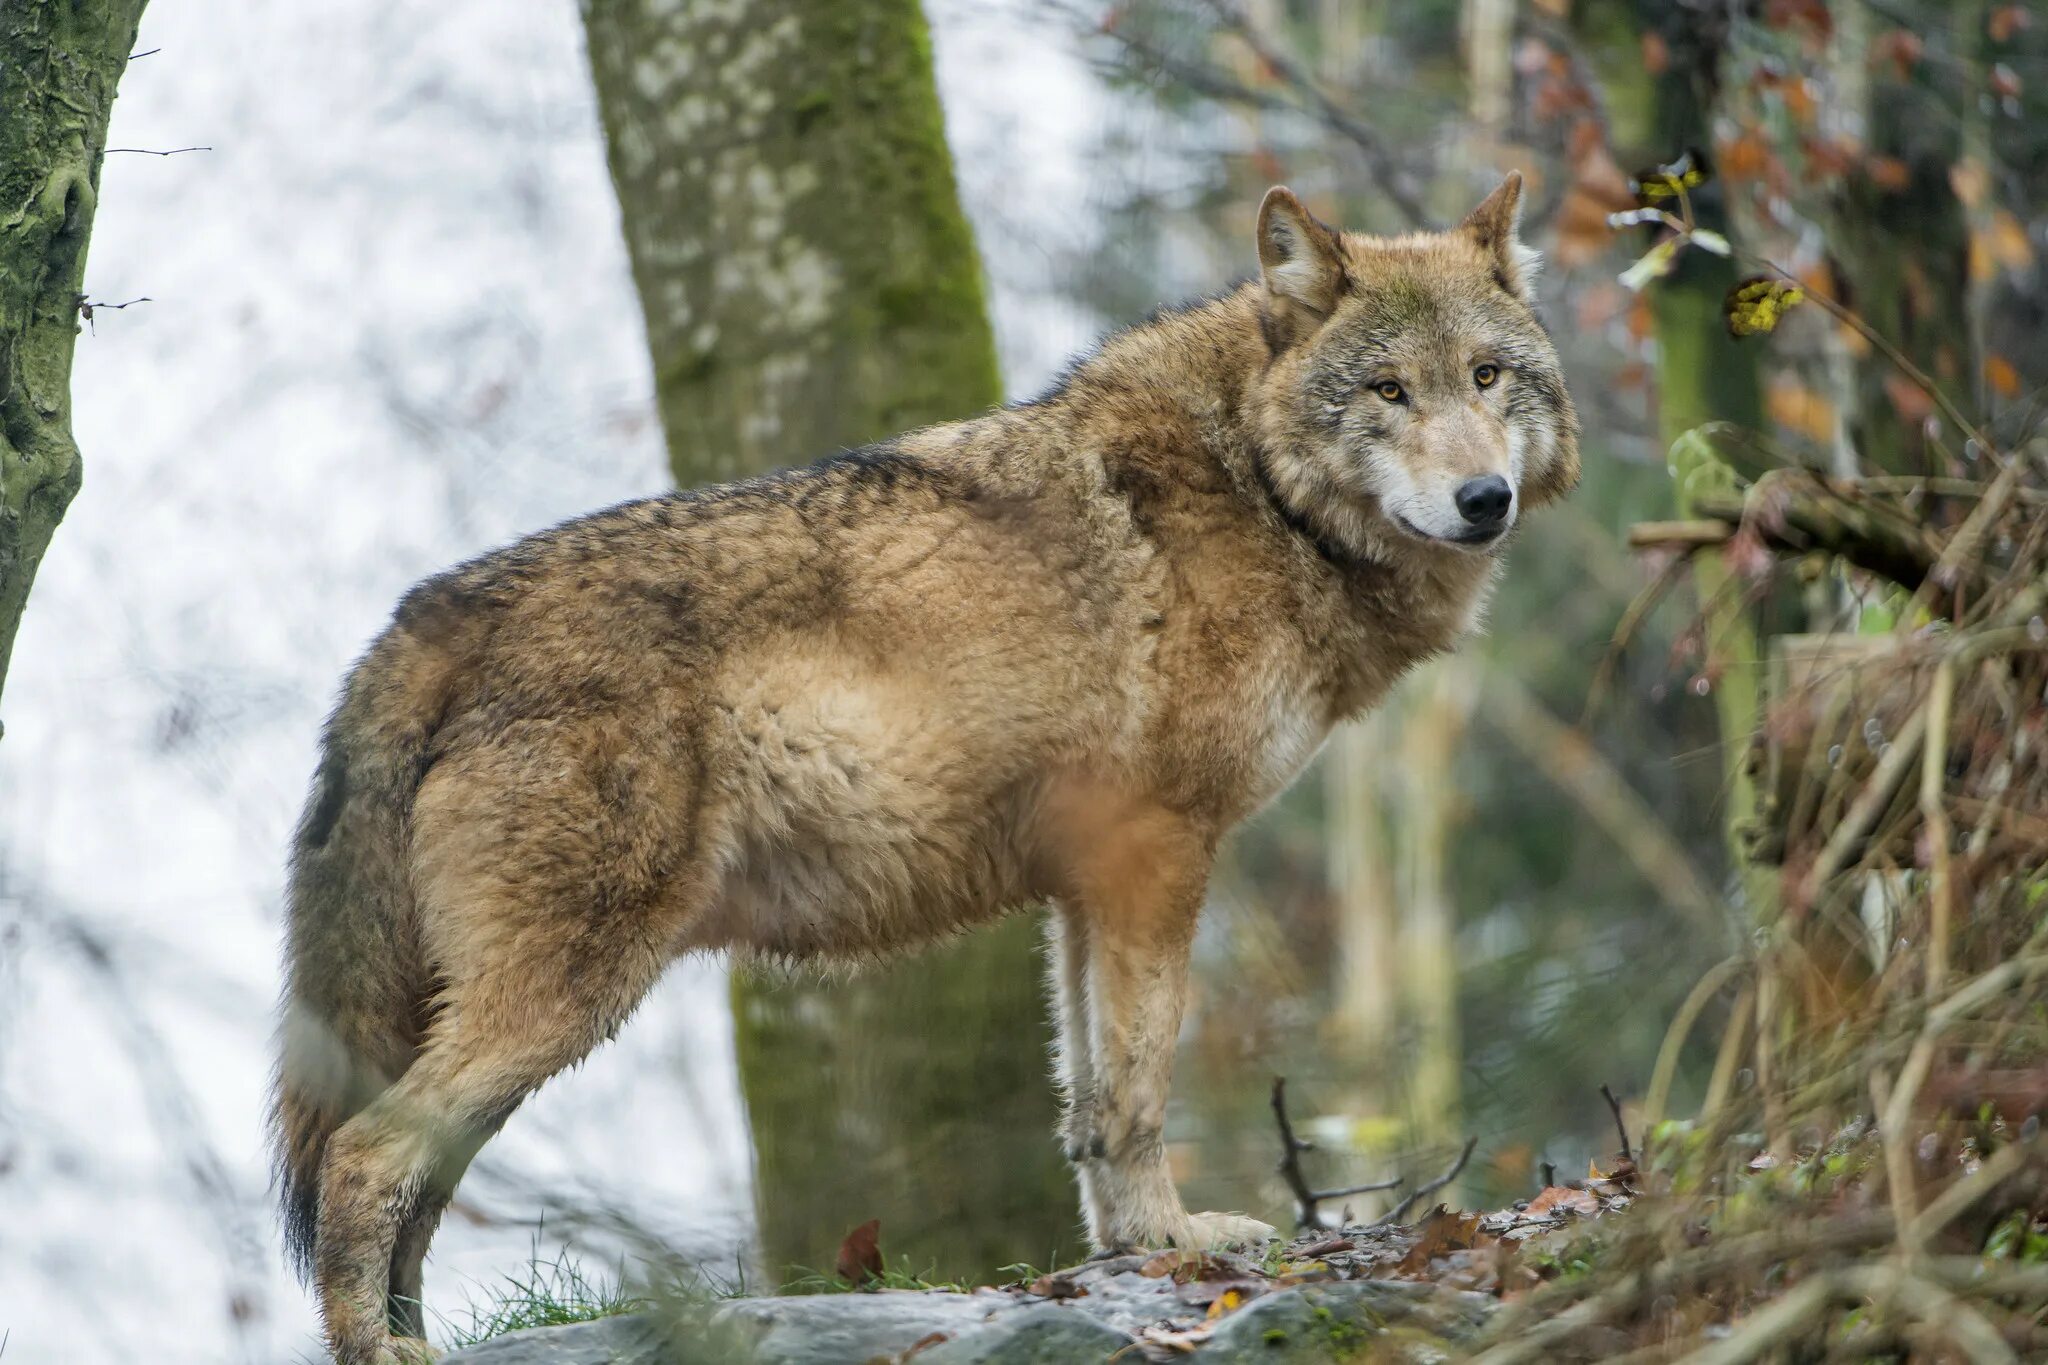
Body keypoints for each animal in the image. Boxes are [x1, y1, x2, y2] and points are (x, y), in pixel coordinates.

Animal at [276, 175, 1581, 1358]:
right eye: (1386, 389)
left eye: (1484, 377)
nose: (1482, 498)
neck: (1258, 485)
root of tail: (419, 620)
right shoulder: (1159, 849)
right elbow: (1138, 1085)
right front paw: (1174, 1246)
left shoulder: (1090, 878)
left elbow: (1088, 1100)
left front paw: (1129, 1249)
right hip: (572, 987)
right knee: (365, 1155)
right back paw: (379, 1350)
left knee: (414, 1178)